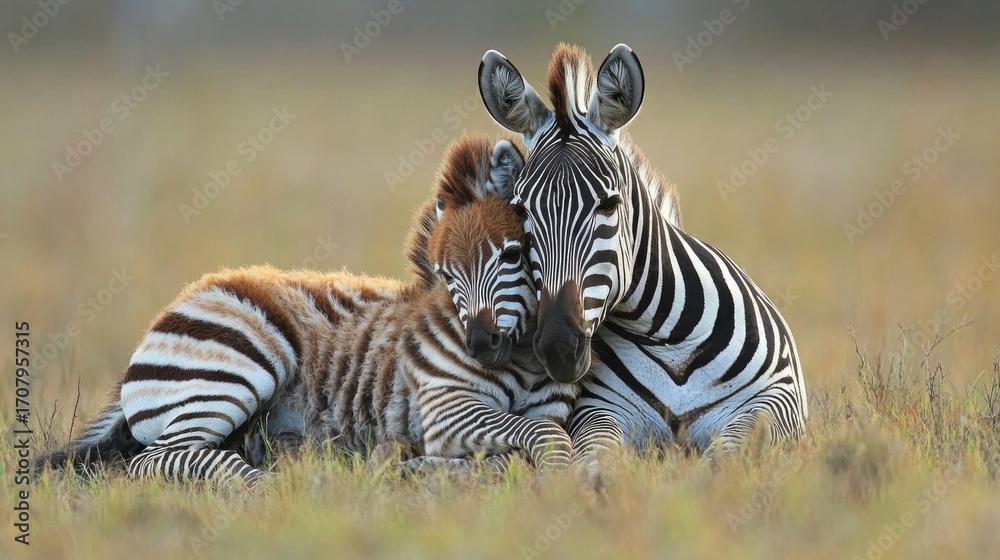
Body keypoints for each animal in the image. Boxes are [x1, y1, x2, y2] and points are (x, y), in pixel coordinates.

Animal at [38, 134, 579, 487]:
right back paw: (265, 488)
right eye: (448, 275)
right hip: (243, 364)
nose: (481, 345)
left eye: (513, 255)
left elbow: (522, 444)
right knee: (156, 459)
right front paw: (560, 475)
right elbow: (538, 438)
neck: (524, 362)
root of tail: (190, 296)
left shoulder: (540, 407)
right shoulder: (446, 407)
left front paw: (422, 467)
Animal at [476, 43, 809, 468]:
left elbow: (727, 454)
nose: (558, 348)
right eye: (521, 211)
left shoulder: (773, 403)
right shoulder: (599, 410)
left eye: (609, 204)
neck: (666, 337)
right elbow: (596, 455)